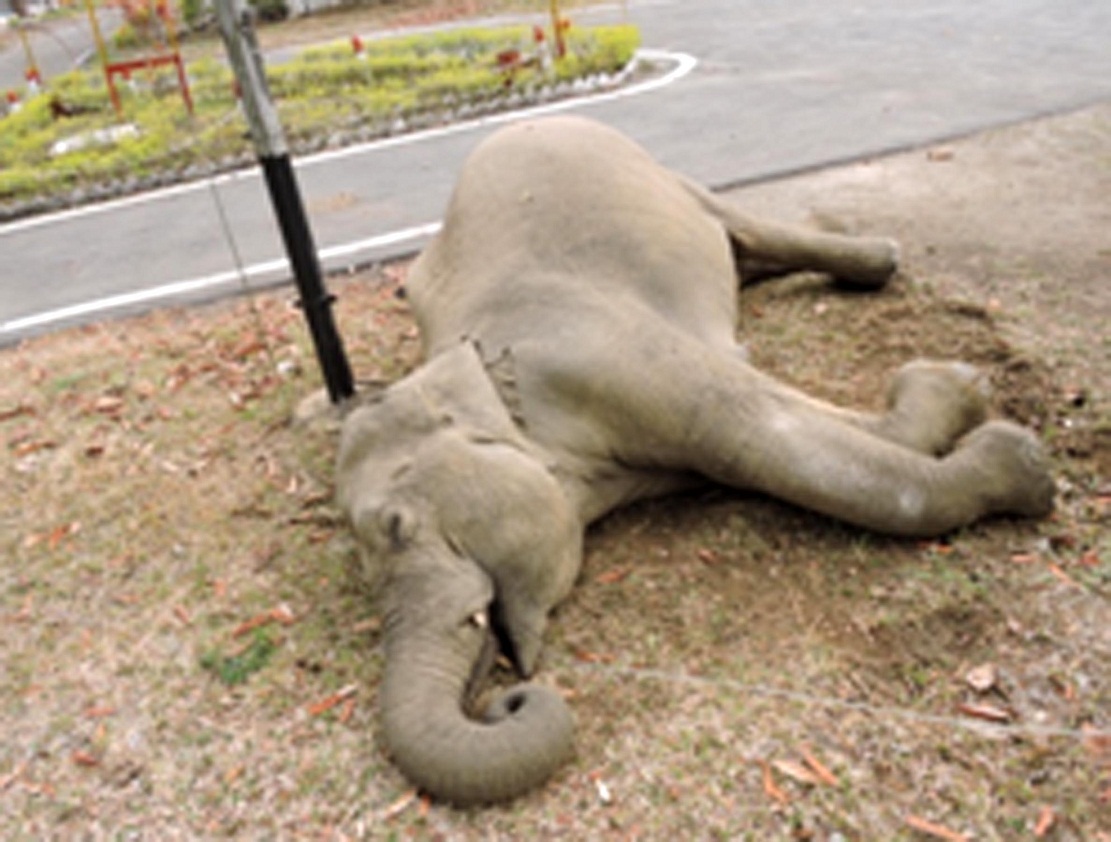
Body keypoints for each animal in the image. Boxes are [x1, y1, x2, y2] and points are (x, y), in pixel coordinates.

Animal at [334, 115, 1055, 806]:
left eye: (395, 527)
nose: (504, 700)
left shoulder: (605, 352)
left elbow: (764, 439)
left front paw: (1011, 451)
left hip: (658, 170)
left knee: (743, 226)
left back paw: (874, 257)